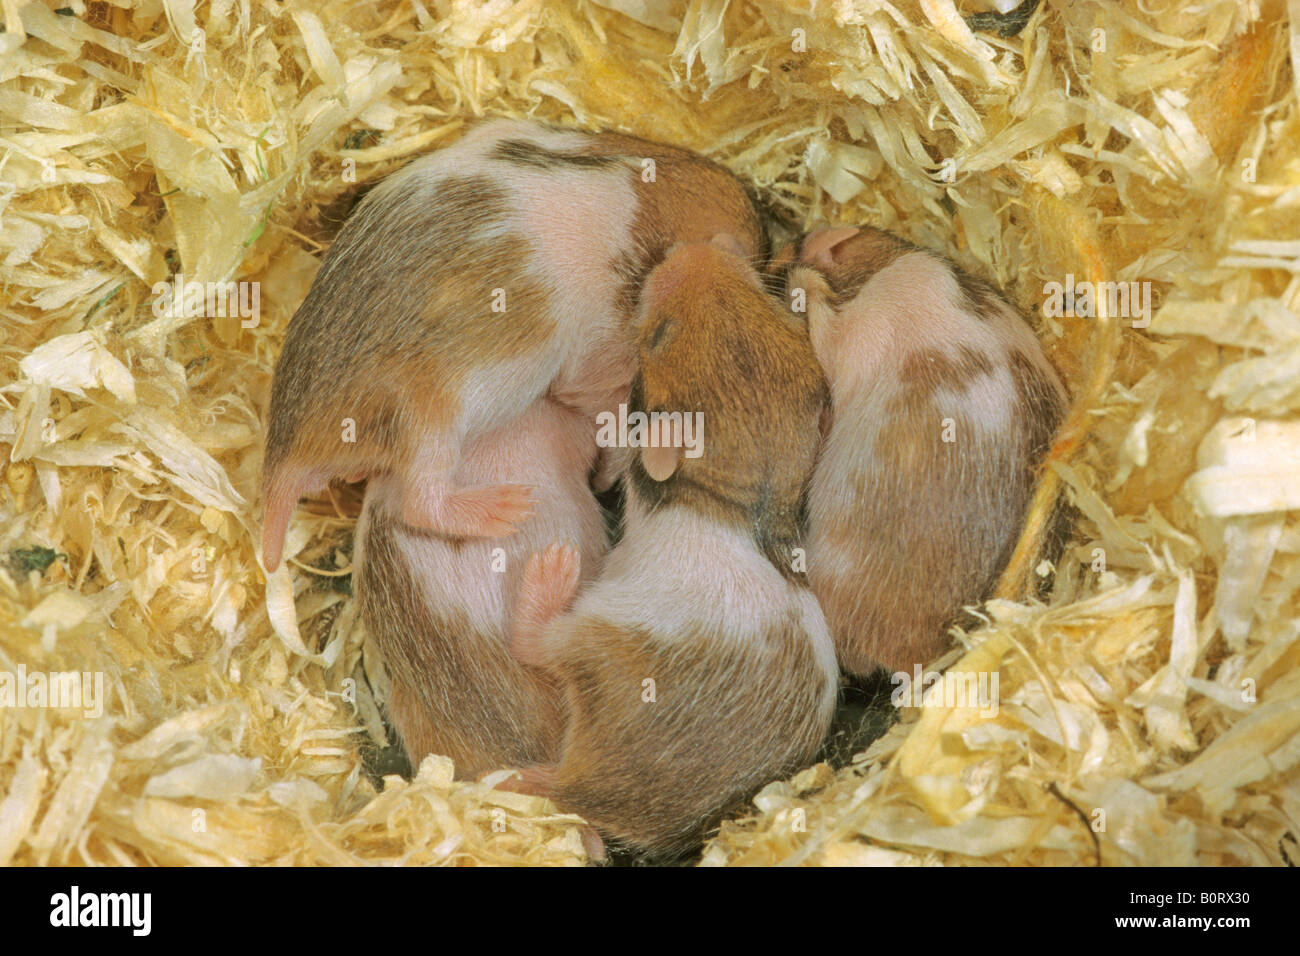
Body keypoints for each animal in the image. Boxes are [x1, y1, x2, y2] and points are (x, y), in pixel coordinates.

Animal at [502, 236, 838, 860]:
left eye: (657, 336)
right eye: (767, 301)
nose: (699, 246)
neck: (742, 495)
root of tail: (586, 789)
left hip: (595, 639)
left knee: (535, 643)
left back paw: (551, 572)